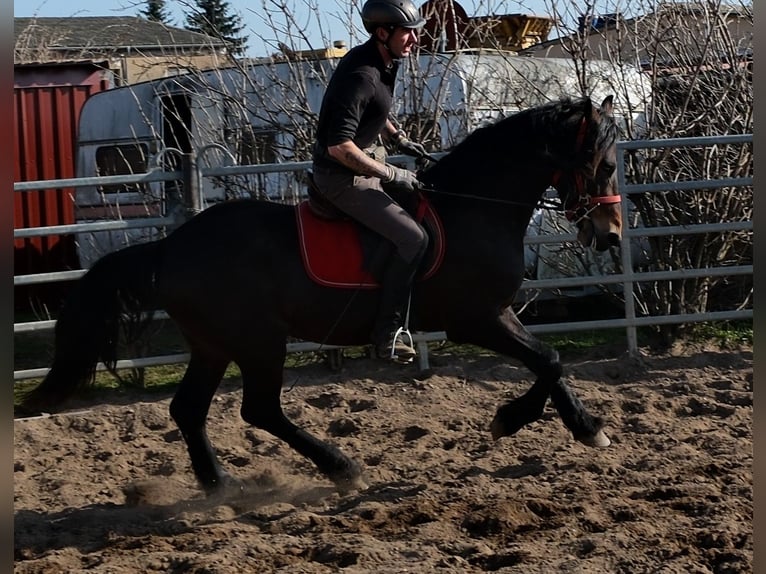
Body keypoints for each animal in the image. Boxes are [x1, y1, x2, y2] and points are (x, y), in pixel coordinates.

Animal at [20, 96, 622, 495]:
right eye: (607, 164)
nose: (611, 235)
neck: (473, 207)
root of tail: (171, 245)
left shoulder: (497, 314)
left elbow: (551, 360)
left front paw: (575, 427)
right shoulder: (475, 318)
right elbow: (548, 358)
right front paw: (526, 422)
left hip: (215, 344)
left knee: (189, 408)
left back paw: (219, 486)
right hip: (258, 341)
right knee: (259, 408)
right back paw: (339, 466)